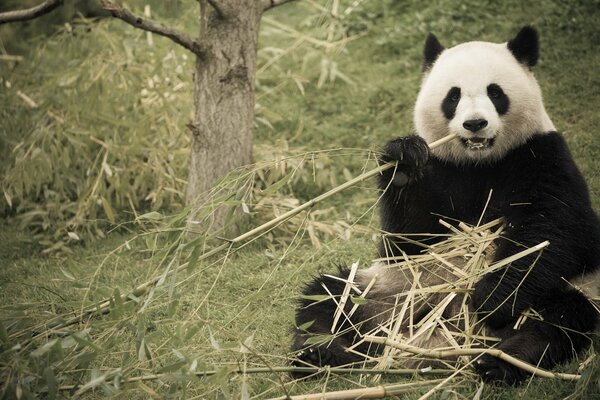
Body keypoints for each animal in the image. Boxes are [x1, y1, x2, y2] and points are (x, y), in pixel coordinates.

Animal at [290, 27, 600, 384]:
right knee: (329, 297)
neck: (480, 162)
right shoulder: (441, 167)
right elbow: (408, 239)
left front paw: (492, 297)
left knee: (558, 320)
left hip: (568, 290)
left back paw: (502, 360)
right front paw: (404, 160)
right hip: (391, 290)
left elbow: (551, 232)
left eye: (495, 92)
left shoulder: (541, 156)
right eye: (453, 96)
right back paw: (318, 352)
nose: (475, 124)